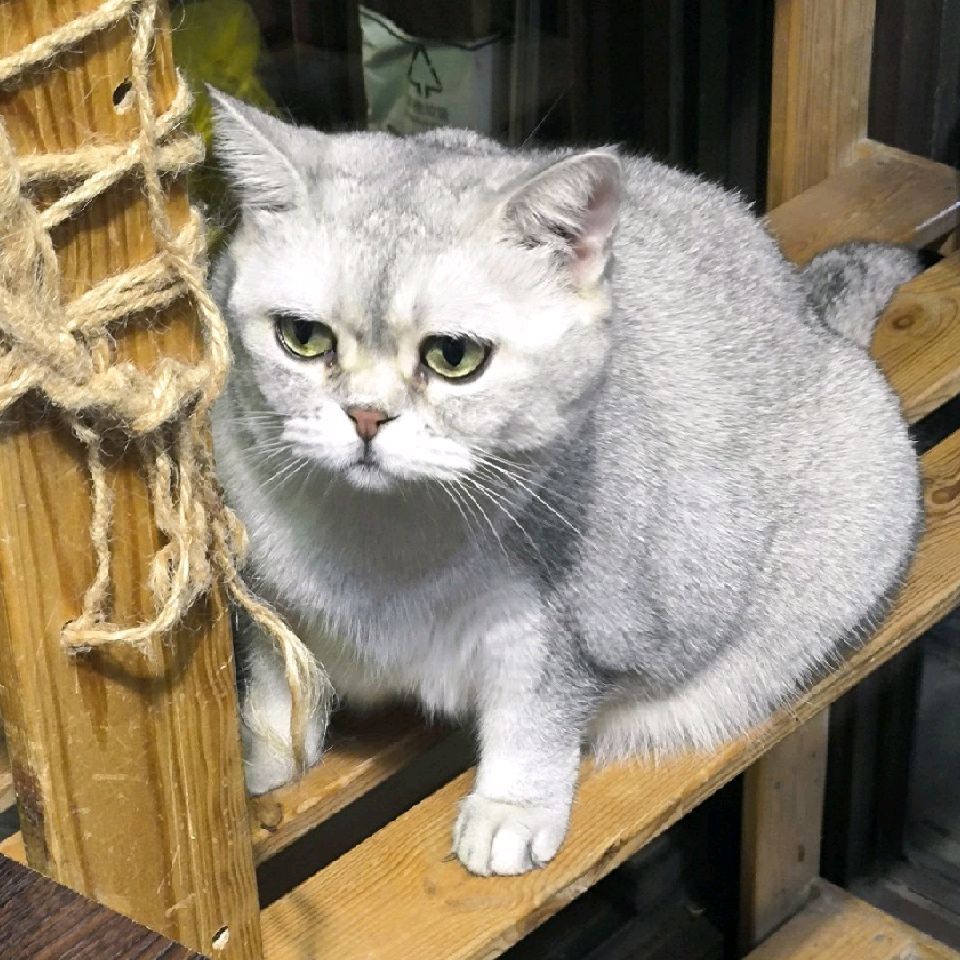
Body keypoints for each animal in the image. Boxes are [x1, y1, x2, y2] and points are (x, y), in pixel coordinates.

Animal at [207, 89, 922, 876]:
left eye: (453, 356)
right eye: (303, 339)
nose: (365, 416)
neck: (382, 546)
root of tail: (810, 310)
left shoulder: (562, 630)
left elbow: (534, 720)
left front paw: (509, 810)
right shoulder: (264, 595)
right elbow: (274, 685)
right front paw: (260, 766)